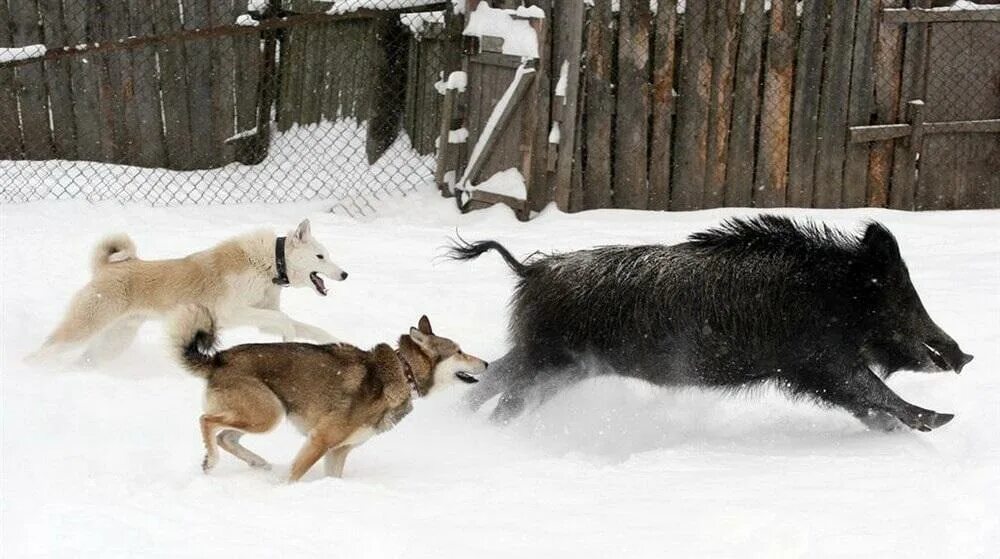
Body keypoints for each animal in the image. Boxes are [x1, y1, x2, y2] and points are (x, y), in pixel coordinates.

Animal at [28, 219, 348, 368]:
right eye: (320, 256)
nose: (345, 274)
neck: (268, 262)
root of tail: (106, 268)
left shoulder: (264, 316)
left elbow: (307, 327)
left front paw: (334, 342)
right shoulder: (234, 314)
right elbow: (287, 324)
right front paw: (288, 340)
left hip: (115, 339)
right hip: (84, 328)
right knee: (42, 351)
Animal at [169, 306, 488, 482]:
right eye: (459, 351)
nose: (487, 363)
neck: (403, 371)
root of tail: (218, 358)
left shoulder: (338, 451)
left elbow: (333, 477)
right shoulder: (320, 440)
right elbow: (294, 477)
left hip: (263, 415)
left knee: (225, 436)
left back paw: (257, 462)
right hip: (269, 414)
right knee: (207, 422)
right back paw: (211, 462)